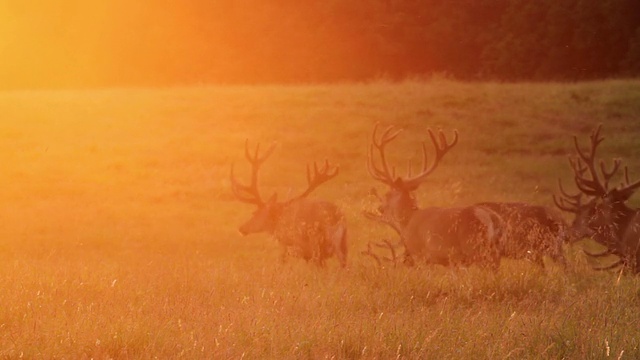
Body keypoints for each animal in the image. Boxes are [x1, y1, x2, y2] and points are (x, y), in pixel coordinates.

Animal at [364, 123, 504, 268]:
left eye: (388, 194)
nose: (380, 208)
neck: (408, 221)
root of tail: (493, 219)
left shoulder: (419, 253)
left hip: (474, 247)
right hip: (494, 250)